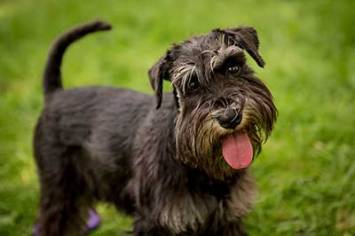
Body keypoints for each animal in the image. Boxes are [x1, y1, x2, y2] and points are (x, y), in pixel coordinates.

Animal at [33, 20, 278, 236]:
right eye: (192, 84)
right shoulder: (154, 221)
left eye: (233, 66)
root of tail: (55, 94)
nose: (229, 117)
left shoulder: (227, 217)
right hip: (60, 192)